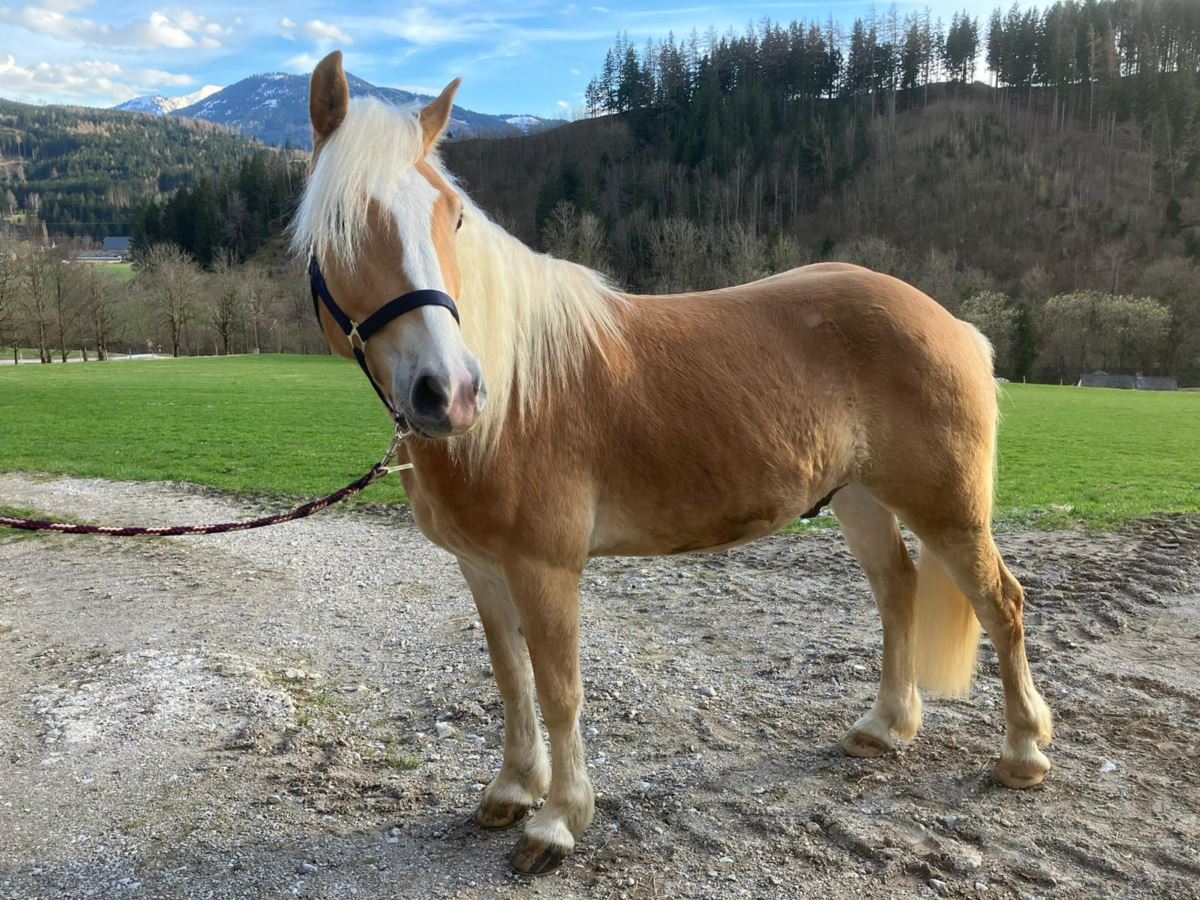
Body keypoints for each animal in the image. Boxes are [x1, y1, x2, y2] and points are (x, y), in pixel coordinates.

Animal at [295, 52, 1056, 878]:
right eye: (340, 223)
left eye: (452, 217)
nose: (452, 391)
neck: (515, 394)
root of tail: (953, 324)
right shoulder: (482, 566)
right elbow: (511, 680)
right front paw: (512, 790)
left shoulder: (545, 567)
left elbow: (560, 689)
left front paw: (557, 822)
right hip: (860, 500)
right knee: (898, 591)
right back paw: (885, 727)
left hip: (947, 509)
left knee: (1002, 604)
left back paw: (1022, 754)